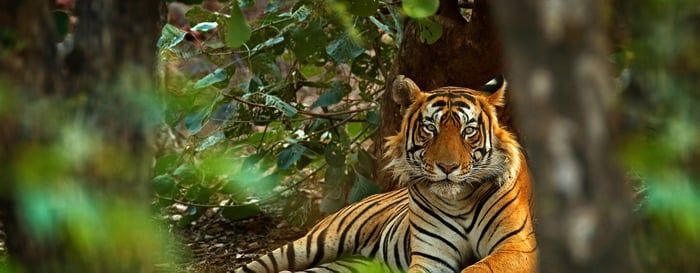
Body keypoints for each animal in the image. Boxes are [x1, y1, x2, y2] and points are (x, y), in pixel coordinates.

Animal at [235, 75, 536, 272]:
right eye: (430, 128)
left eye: (468, 131)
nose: (448, 167)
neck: (459, 200)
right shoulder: (431, 257)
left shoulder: (518, 246)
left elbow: (475, 268)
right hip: (312, 243)